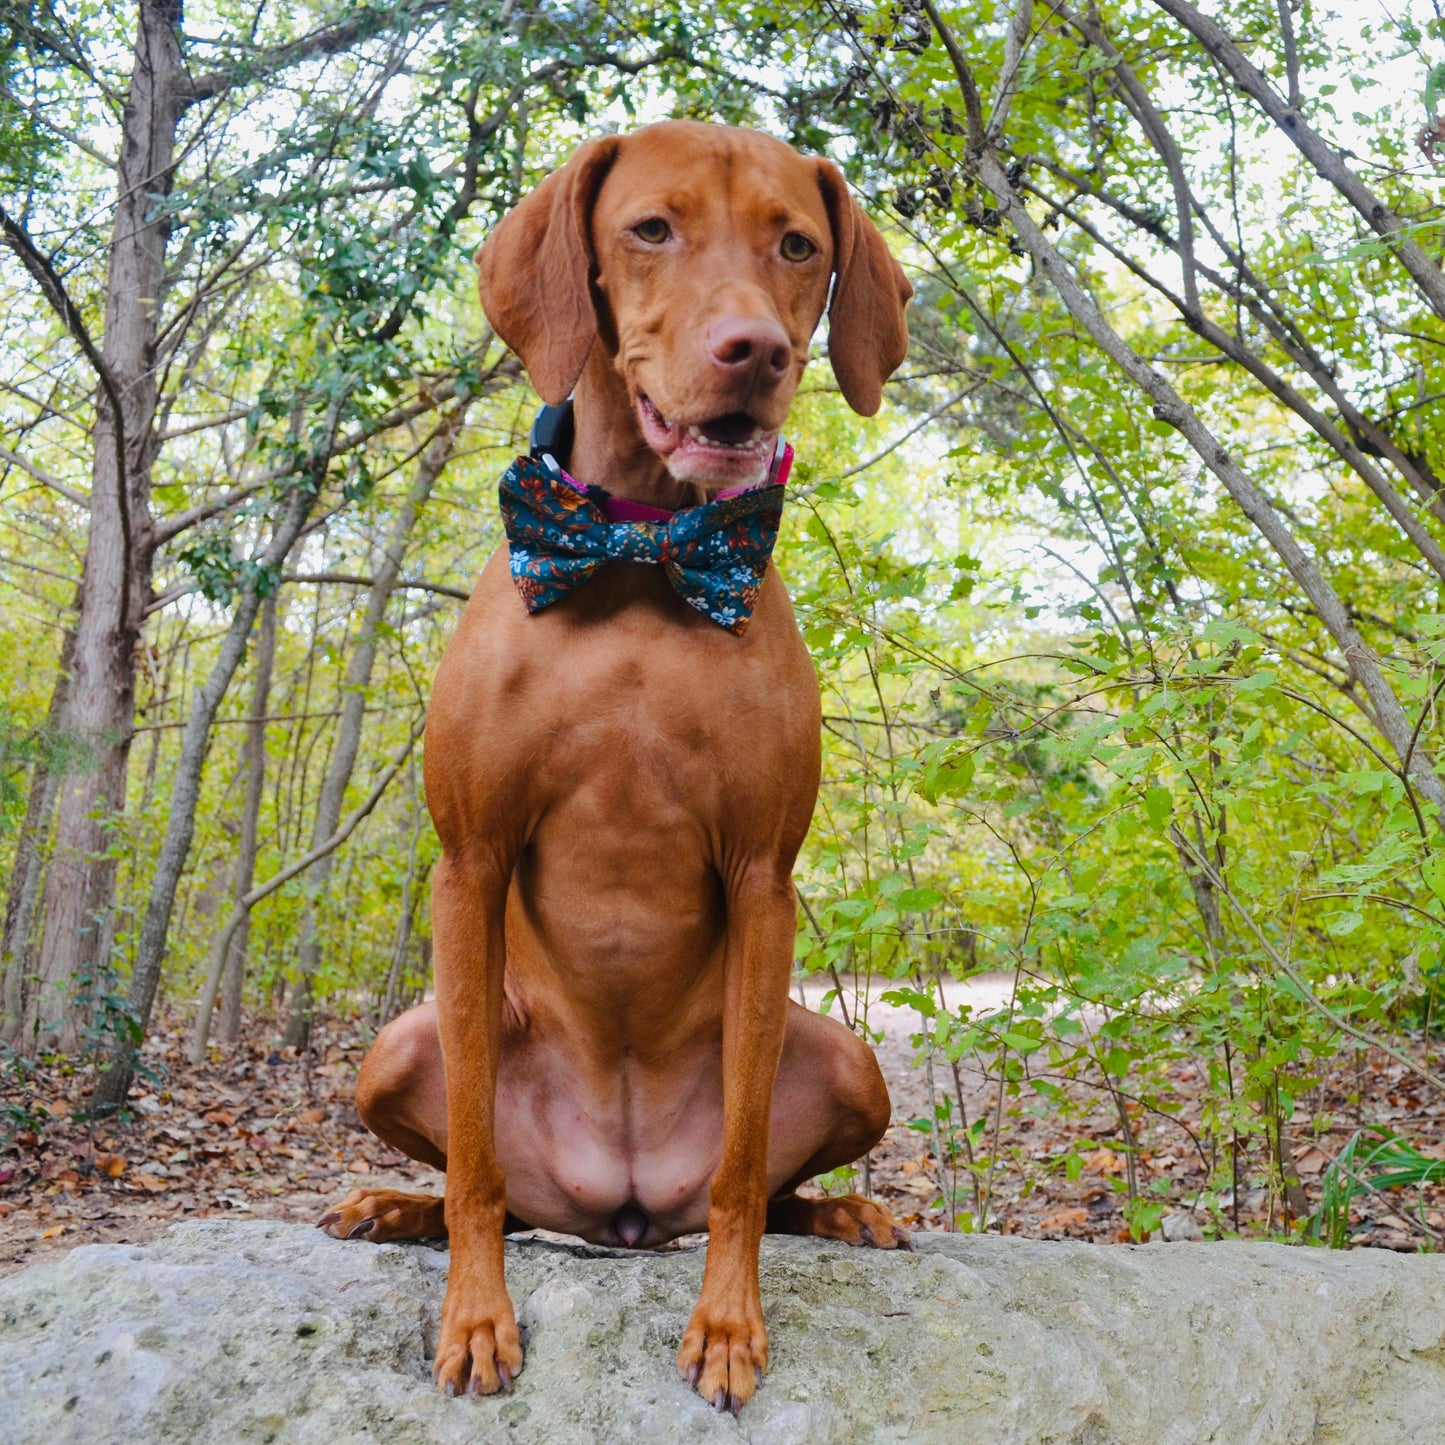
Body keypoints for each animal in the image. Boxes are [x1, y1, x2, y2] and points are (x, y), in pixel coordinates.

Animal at [320, 121, 913, 1410]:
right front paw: (476, 1317)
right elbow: (475, 1167)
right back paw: (392, 1205)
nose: (757, 352)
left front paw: (729, 1326)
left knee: (768, 1189)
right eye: (651, 228)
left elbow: (741, 1173)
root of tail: (624, 1210)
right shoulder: (469, 861)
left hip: (845, 1057)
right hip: (398, 1044)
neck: (643, 548)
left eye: (798, 245)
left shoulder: (761, 874)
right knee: (478, 1187)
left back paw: (847, 1210)